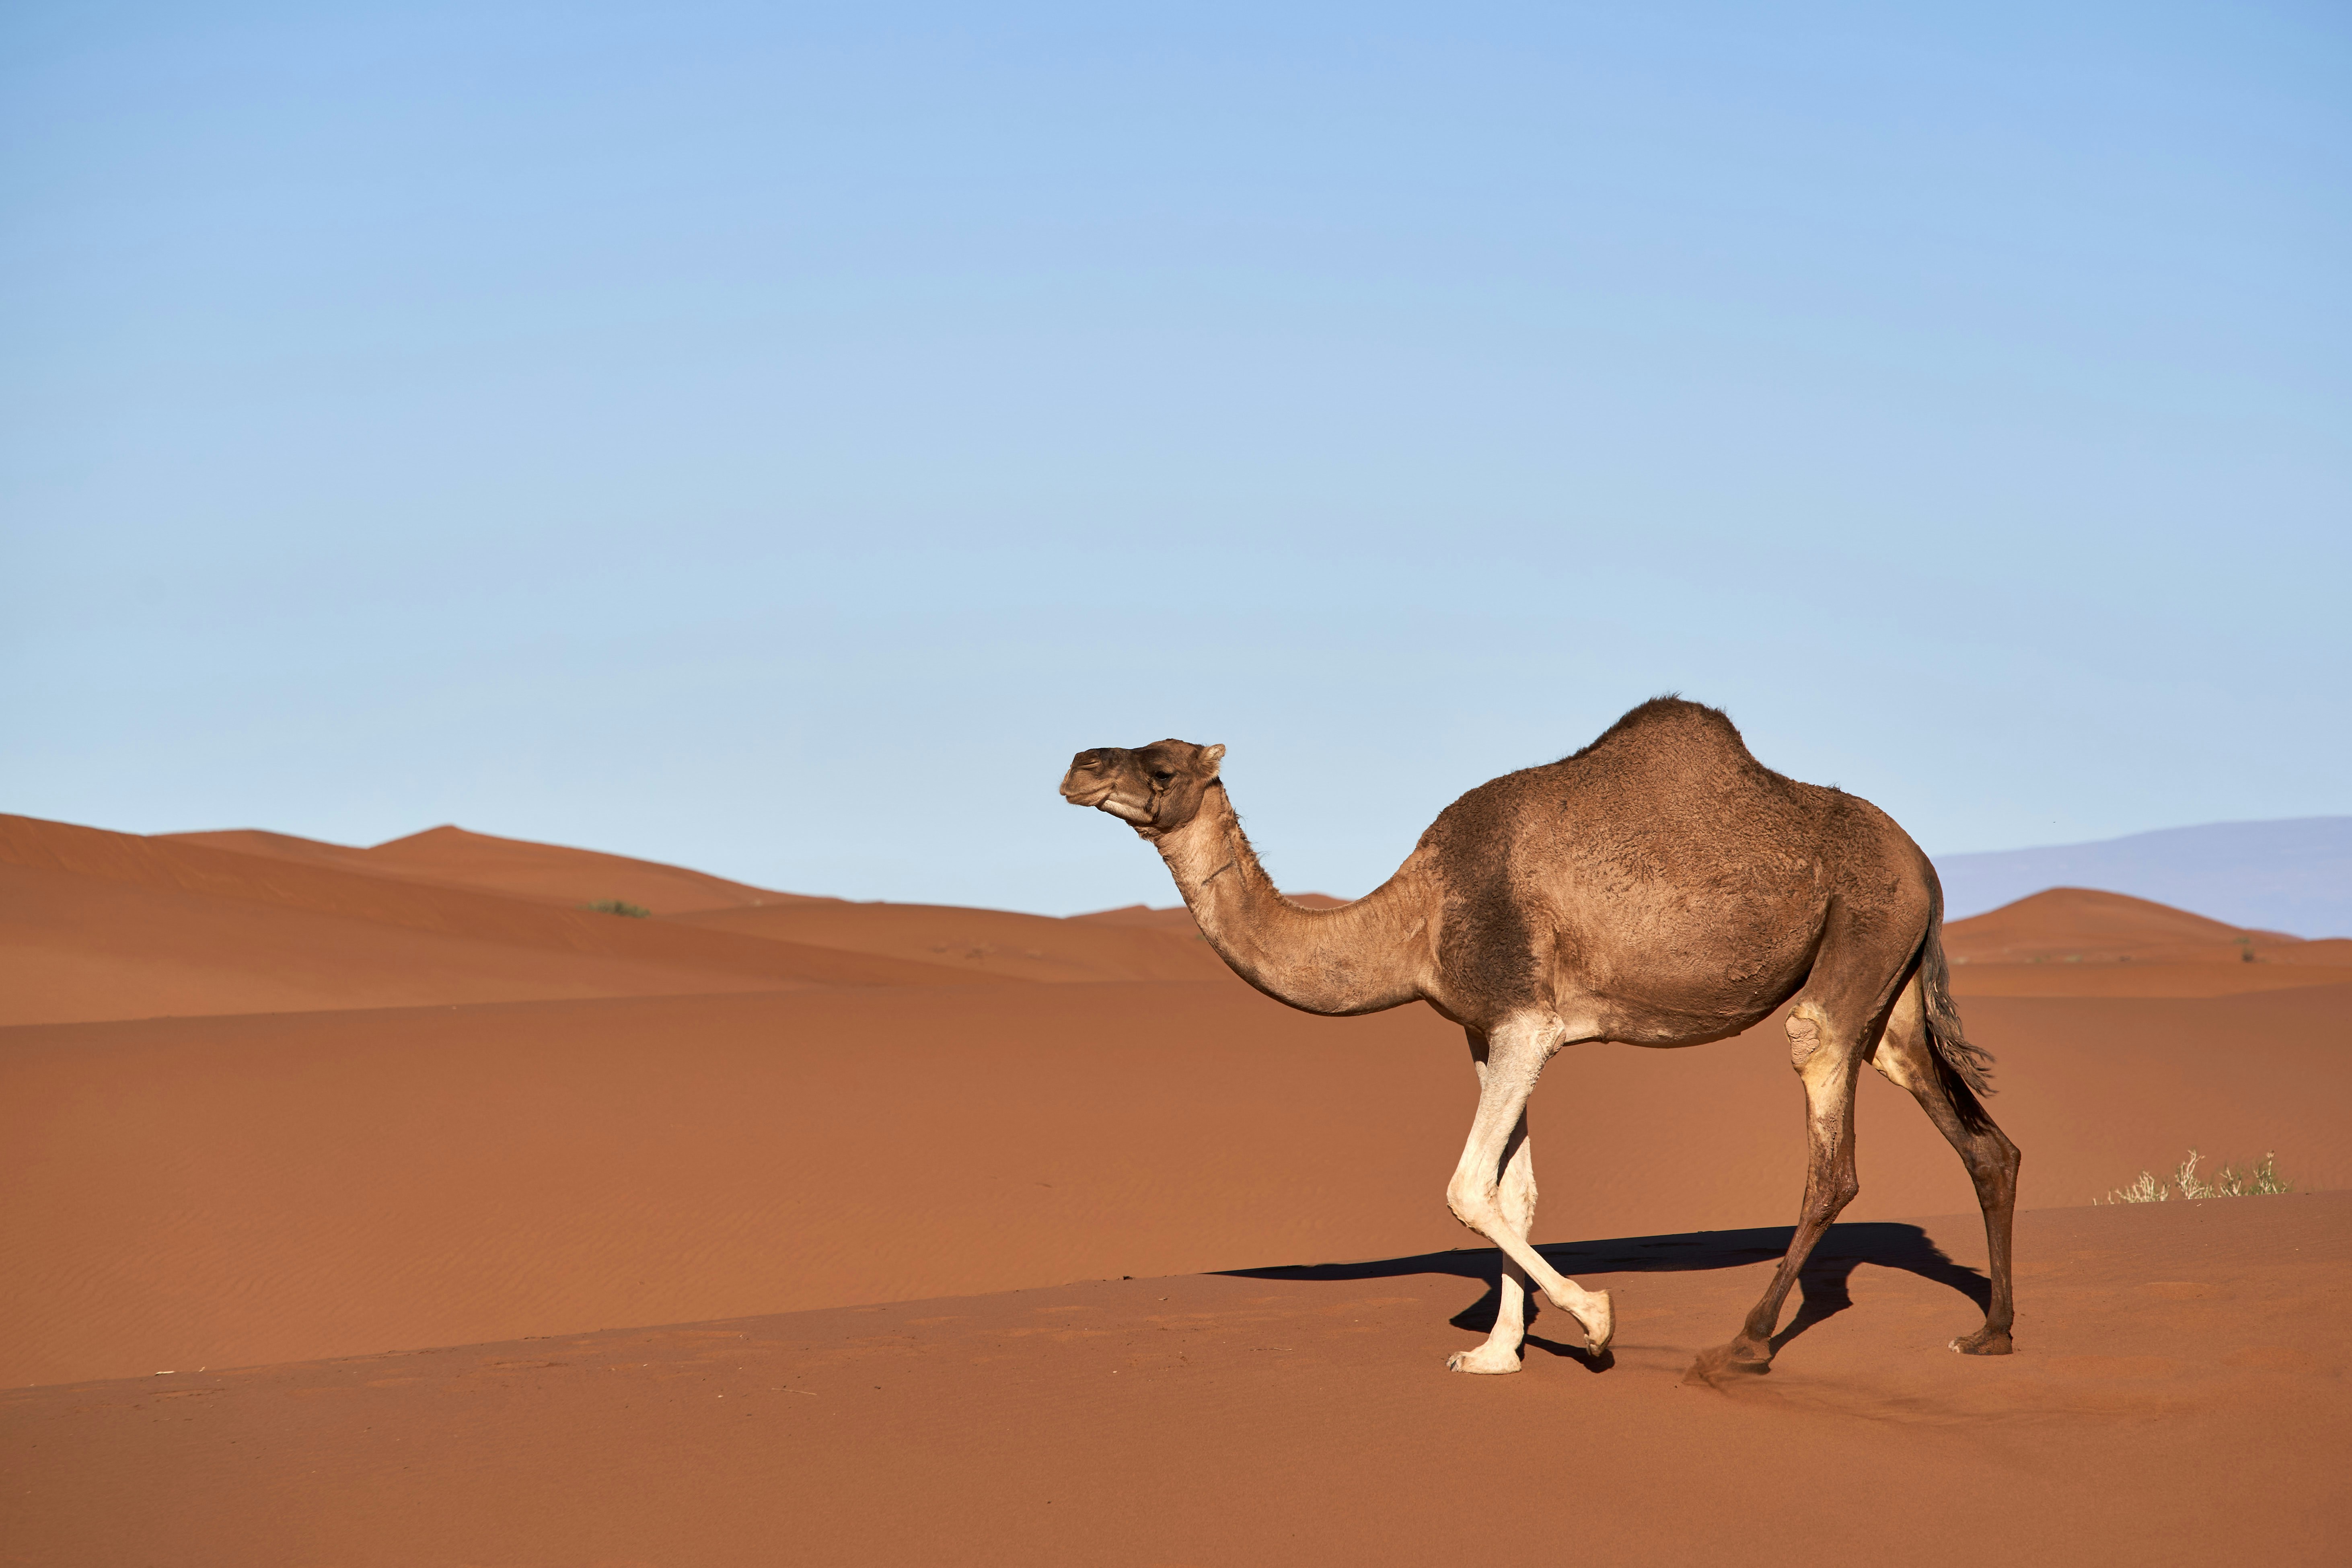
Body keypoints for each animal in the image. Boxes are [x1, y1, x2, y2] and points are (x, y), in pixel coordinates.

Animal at [1059, 697, 2019, 1379]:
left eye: (1160, 763)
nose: (1076, 764)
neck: (1414, 917)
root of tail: (1923, 863)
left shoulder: (1528, 1021)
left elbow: (1465, 1188)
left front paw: (1593, 1322)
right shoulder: (1488, 1033)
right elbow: (1512, 1193)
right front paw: (1494, 1352)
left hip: (1856, 946)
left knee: (1831, 1150)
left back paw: (1741, 1346)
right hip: (1892, 991)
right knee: (1983, 1142)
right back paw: (1990, 1333)